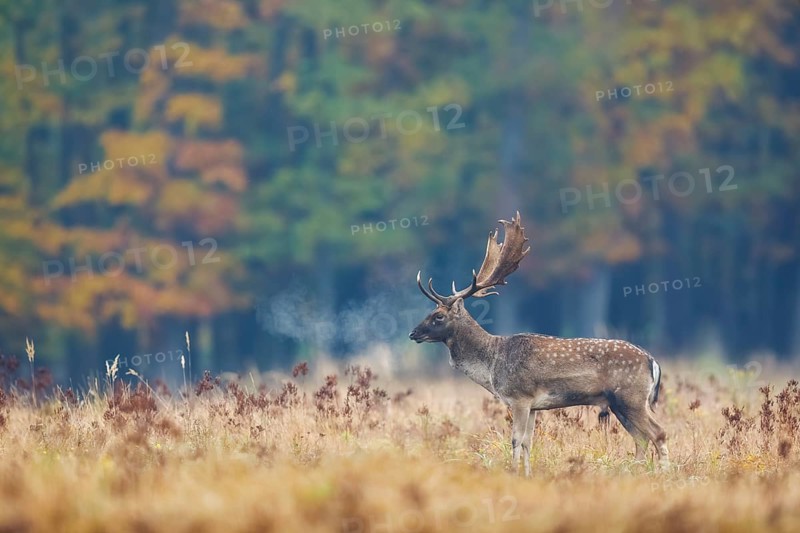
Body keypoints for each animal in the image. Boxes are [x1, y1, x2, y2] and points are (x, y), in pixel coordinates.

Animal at [408, 212, 669, 476]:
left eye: (439, 316)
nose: (413, 333)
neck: (492, 365)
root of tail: (653, 361)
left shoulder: (519, 397)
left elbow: (515, 439)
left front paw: (513, 472)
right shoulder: (534, 406)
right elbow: (528, 442)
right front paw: (527, 474)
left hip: (630, 396)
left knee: (658, 433)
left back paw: (664, 473)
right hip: (621, 403)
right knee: (641, 438)